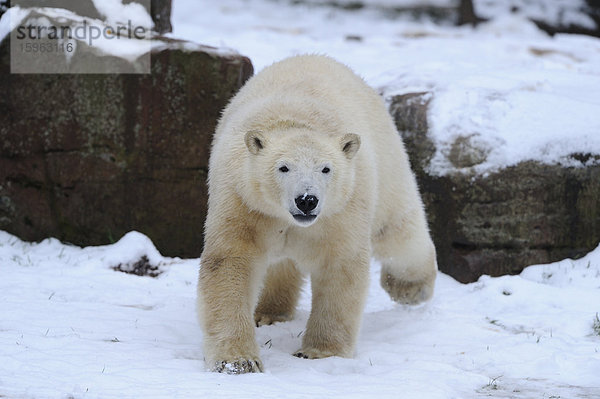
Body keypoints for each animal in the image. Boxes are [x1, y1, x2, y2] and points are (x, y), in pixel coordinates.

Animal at [197, 54, 436, 374]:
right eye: (283, 167)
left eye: (326, 168)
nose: (307, 200)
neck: (296, 121)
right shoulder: (244, 200)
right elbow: (230, 261)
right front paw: (238, 361)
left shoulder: (343, 207)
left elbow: (340, 265)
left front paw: (320, 352)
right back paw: (268, 313)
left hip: (386, 161)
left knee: (396, 228)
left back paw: (410, 288)